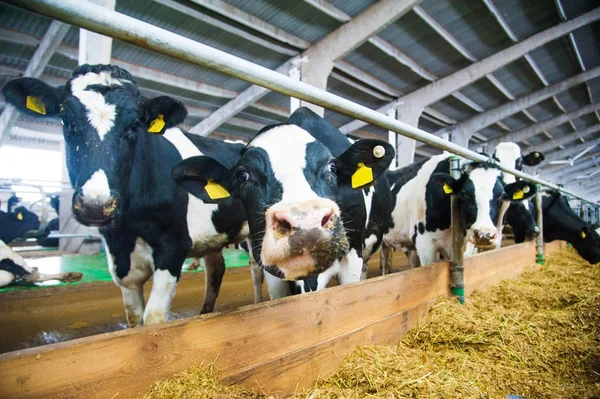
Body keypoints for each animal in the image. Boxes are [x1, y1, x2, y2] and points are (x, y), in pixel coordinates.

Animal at [2, 65, 251, 328]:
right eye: (66, 121)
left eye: (134, 125)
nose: (95, 205)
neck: (130, 226)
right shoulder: (120, 256)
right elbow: (134, 319)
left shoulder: (173, 245)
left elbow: (153, 319)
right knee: (215, 270)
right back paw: (205, 314)